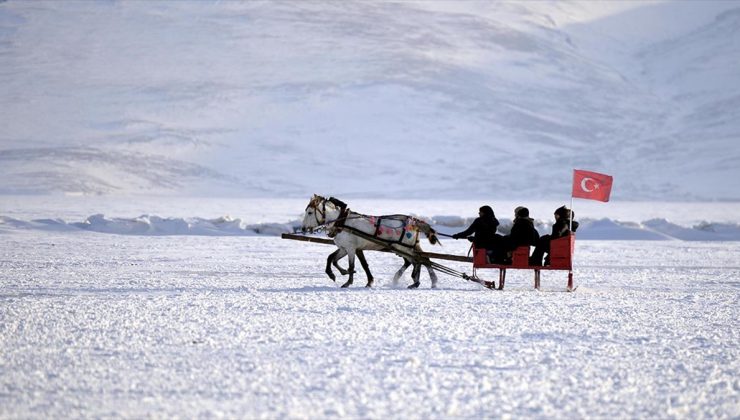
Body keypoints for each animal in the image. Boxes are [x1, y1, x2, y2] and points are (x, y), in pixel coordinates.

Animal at [302, 194, 440, 288]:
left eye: (309, 212)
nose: (303, 228)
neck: (342, 222)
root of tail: (414, 222)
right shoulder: (345, 248)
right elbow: (332, 259)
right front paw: (337, 273)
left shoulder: (351, 248)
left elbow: (352, 265)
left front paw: (348, 281)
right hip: (406, 247)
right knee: (422, 259)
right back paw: (428, 281)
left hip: (403, 247)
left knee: (418, 260)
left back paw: (416, 282)